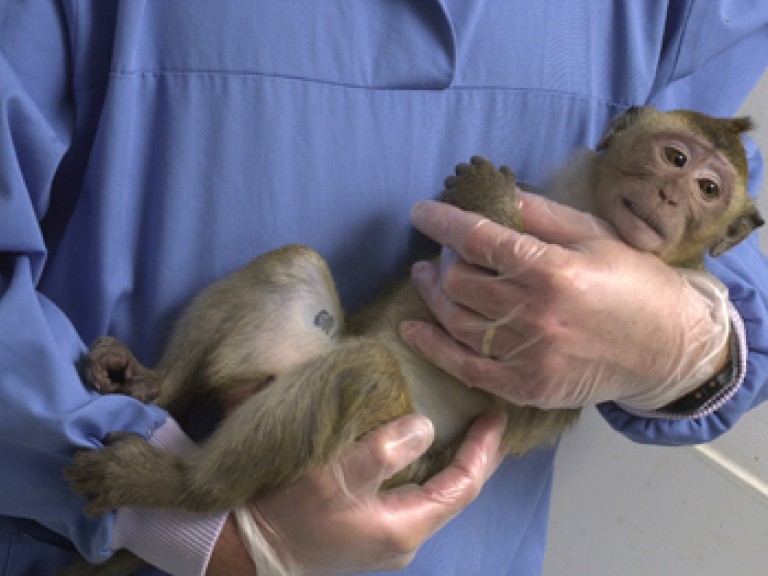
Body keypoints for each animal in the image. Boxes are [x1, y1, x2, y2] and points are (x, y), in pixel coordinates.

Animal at [66, 107, 760, 572]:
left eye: (708, 190)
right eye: (675, 158)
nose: (671, 195)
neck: (587, 206)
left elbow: (514, 342)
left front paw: (490, 201)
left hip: (390, 452)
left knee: (367, 369)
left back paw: (180, 488)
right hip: (279, 366)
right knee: (297, 269)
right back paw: (152, 384)